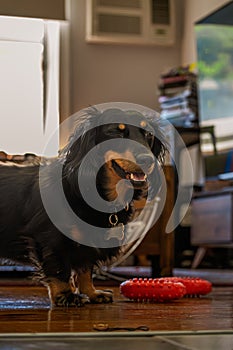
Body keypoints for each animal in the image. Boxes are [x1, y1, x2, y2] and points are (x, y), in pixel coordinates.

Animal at [0, 106, 167, 306]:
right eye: (115, 131)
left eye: (148, 134)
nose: (147, 160)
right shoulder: (51, 239)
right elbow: (60, 269)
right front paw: (66, 295)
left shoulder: (87, 245)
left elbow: (85, 270)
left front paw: (92, 292)